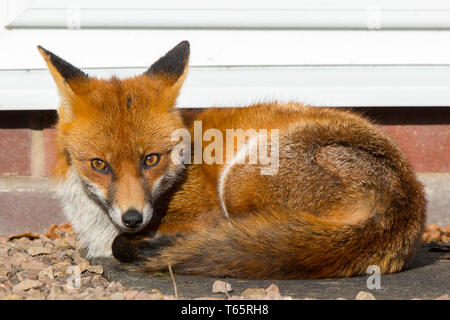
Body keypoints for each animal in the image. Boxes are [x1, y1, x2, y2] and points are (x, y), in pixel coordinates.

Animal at [37, 42, 426, 278]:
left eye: (150, 159)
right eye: (99, 164)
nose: (132, 219)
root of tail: (403, 203)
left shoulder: (203, 210)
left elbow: (127, 244)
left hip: (238, 180)